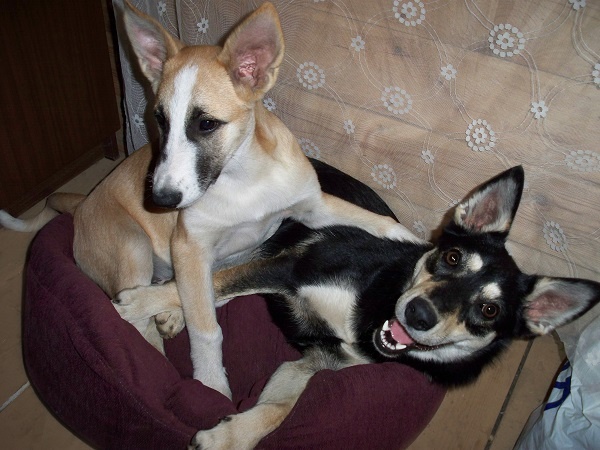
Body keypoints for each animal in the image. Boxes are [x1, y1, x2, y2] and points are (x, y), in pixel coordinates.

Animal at [0, 2, 419, 399]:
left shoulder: (312, 207)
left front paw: (418, 246)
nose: (160, 199)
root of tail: (81, 204)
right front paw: (211, 386)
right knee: (145, 327)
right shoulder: (190, 246)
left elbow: (379, 221)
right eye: (160, 120)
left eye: (206, 124)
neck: (244, 178)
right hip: (133, 249)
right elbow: (206, 331)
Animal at [114, 161, 600, 449]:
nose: (417, 314)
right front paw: (135, 303)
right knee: (205, 274)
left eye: (489, 311)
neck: (377, 299)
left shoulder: (318, 360)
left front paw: (228, 438)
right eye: (452, 258)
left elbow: (277, 411)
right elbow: (217, 284)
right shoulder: (295, 265)